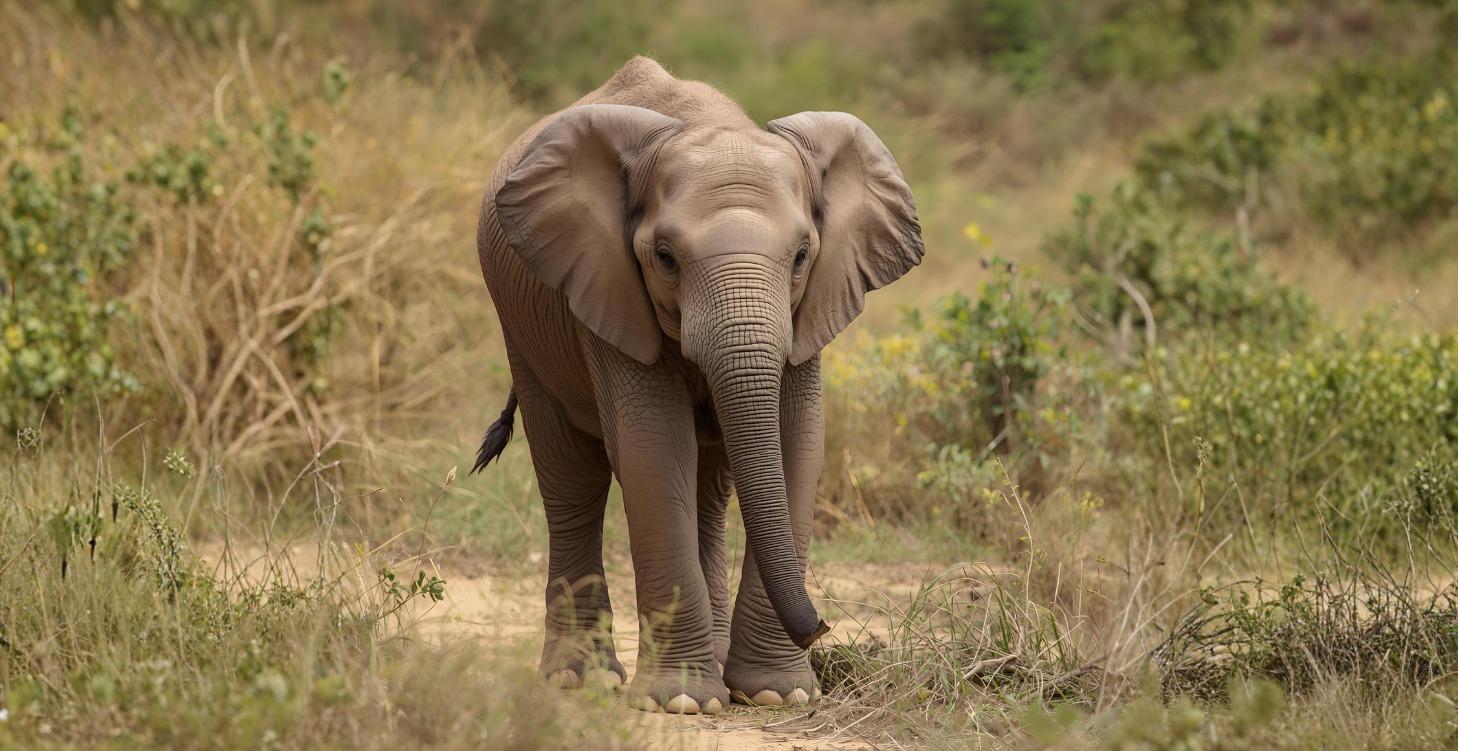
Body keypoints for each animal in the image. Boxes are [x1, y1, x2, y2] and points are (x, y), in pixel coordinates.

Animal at [471, 56, 923, 715]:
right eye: (664, 258)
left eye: (801, 256)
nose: (822, 627)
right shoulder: (608, 290)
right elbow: (654, 450)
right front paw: (682, 702)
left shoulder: (810, 310)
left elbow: (797, 445)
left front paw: (775, 694)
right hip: (522, 327)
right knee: (571, 475)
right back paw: (581, 680)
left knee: (709, 487)